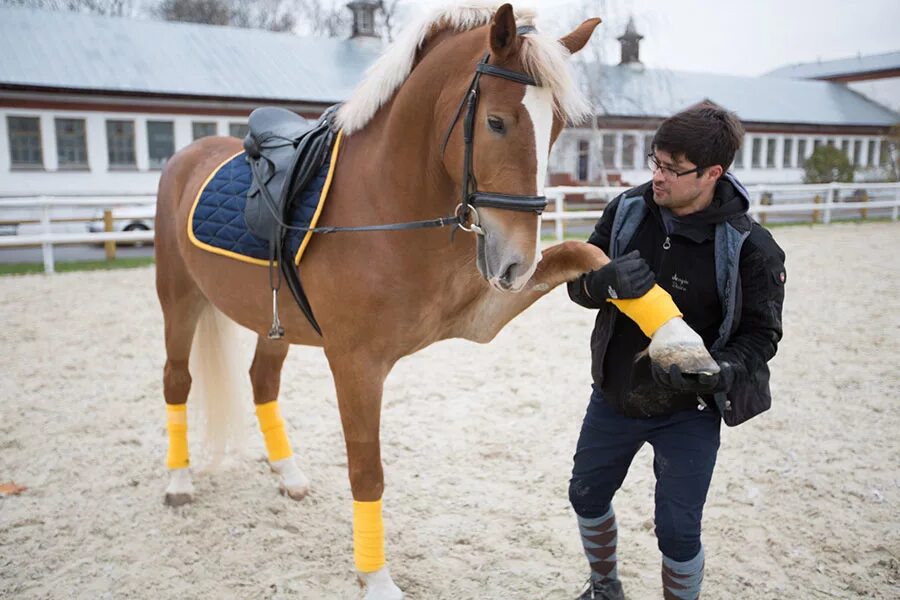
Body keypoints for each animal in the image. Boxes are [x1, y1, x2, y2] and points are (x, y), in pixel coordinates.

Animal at [155, 2, 716, 596]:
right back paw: (178, 483)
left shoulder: (482, 316)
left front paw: (679, 341)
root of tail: (192, 153)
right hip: (178, 299)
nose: (515, 262)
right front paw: (377, 580)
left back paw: (289, 477)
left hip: (273, 322)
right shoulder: (355, 366)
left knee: (261, 382)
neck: (383, 208)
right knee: (177, 381)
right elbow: (368, 474)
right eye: (496, 122)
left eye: (558, 128)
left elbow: (586, 254)